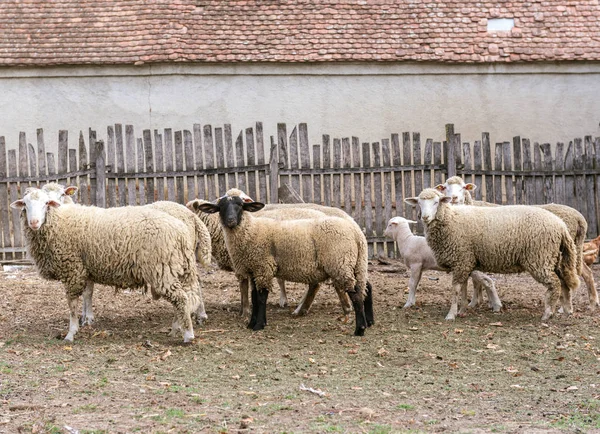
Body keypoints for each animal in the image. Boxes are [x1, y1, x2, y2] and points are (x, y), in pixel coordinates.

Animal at [10, 188, 203, 344]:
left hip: (162, 269)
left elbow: (72, 305)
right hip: (175, 268)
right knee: (186, 296)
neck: (59, 221)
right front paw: (84, 321)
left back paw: (187, 335)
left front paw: (71, 333)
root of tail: (181, 231)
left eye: (46, 203)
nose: (34, 222)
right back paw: (176, 328)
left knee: (181, 298)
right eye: (25, 204)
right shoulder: (84, 269)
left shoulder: (73, 269)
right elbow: (86, 295)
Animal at [195, 192, 372, 338]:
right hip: (354, 264)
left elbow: (261, 297)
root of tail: (356, 231)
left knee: (355, 294)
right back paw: (369, 321)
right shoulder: (254, 269)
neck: (251, 230)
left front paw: (258, 325)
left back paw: (360, 329)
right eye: (221, 207)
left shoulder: (263, 267)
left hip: (340, 264)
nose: (231, 220)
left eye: (240, 205)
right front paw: (252, 323)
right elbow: (254, 296)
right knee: (364, 286)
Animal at [404, 188, 580, 320]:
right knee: (563, 282)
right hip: (553, 258)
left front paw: (451, 315)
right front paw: (462, 310)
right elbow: (463, 289)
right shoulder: (463, 261)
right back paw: (566, 310)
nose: (425, 217)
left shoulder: (461, 259)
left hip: (540, 258)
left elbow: (455, 289)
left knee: (555, 283)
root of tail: (561, 226)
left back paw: (548, 313)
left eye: (436, 202)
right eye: (419, 203)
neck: (450, 219)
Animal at [434, 175, 596, 310]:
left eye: (463, 187)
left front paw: (475, 302)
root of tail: (580, 218)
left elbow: (476, 280)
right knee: (585, 272)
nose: (453, 197)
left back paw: (565, 307)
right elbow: (476, 280)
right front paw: (476, 301)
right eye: (445, 187)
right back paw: (592, 303)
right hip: (575, 249)